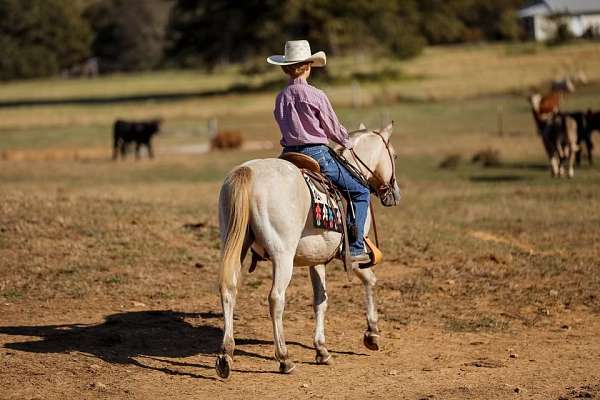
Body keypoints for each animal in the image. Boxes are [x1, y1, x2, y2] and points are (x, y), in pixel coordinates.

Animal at [213, 122, 400, 378]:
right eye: (395, 155)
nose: (395, 194)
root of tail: (248, 172)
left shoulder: (317, 258)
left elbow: (320, 299)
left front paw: (322, 350)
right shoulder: (352, 254)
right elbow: (369, 280)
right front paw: (372, 334)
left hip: (234, 245)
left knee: (229, 289)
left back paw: (225, 355)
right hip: (283, 257)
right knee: (276, 298)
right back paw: (284, 359)